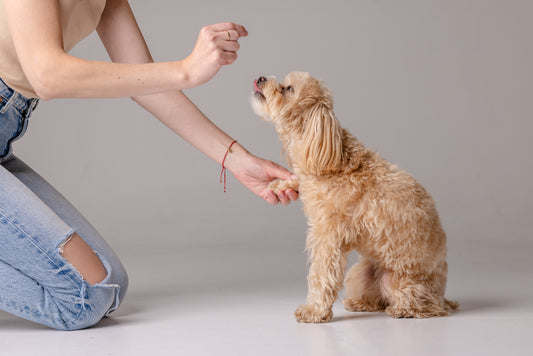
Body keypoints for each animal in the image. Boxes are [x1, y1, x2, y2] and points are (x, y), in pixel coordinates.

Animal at [250, 71, 458, 322]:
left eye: (288, 89)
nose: (261, 78)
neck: (333, 156)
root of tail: (442, 296)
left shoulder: (328, 236)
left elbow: (321, 275)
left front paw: (313, 311)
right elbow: (298, 179)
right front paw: (280, 185)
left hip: (399, 281)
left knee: (424, 306)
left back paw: (402, 310)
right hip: (362, 272)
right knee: (377, 297)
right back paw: (362, 303)